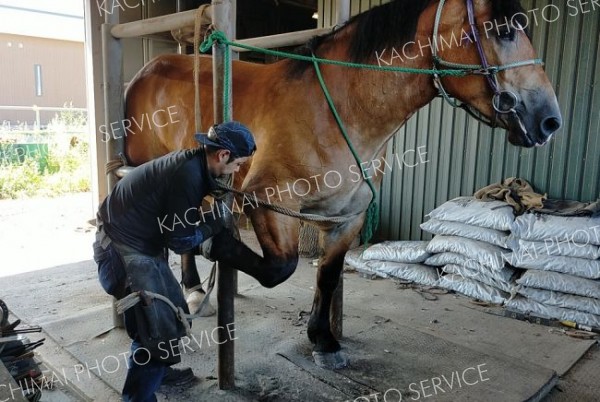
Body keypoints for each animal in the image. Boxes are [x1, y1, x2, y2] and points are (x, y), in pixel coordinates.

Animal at [123, 0, 564, 370]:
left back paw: (195, 288)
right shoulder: (268, 200)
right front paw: (217, 245)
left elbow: (328, 275)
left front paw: (323, 339)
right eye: (502, 29)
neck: (336, 108)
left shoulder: (348, 217)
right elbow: (279, 268)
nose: (549, 120)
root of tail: (147, 69)